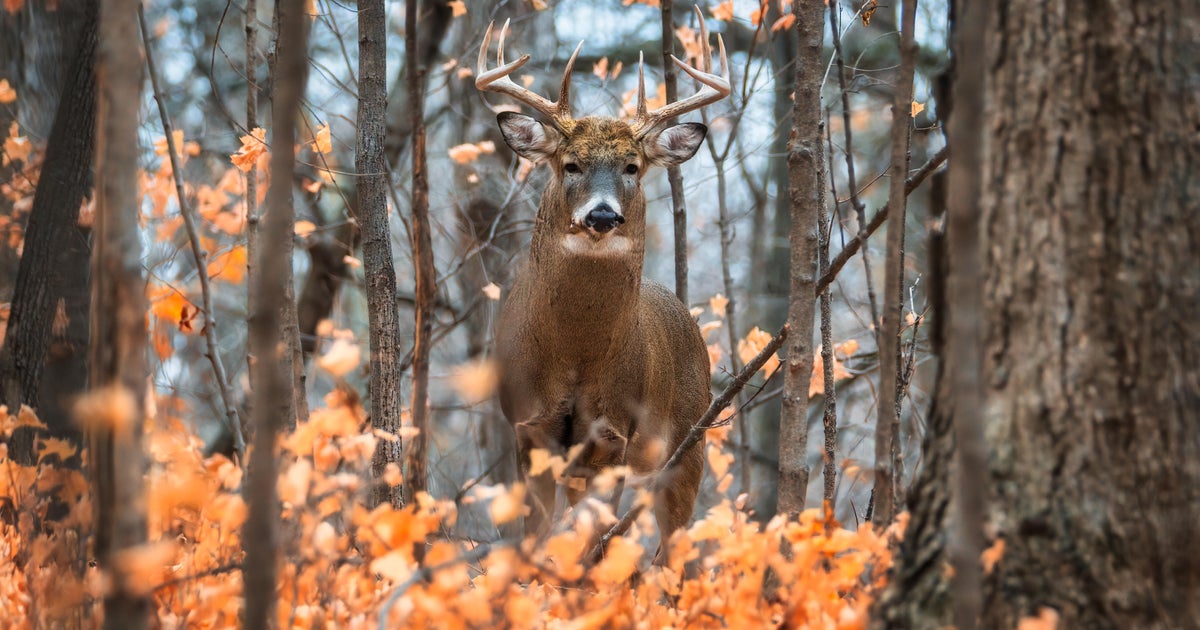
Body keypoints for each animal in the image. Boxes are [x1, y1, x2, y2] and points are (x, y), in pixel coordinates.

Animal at [476, 12, 730, 558]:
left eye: (632, 166)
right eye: (570, 163)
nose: (602, 215)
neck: (575, 359)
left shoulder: (614, 437)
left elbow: (595, 544)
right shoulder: (528, 430)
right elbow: (538, 538)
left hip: (688, 444)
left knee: (675, 548)